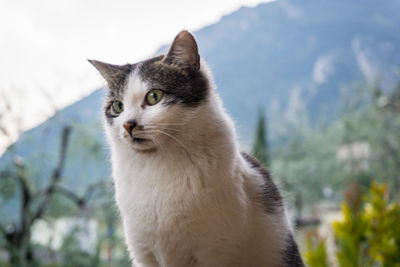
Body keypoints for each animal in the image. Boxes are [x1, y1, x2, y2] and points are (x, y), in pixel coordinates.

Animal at [89, 30, 304, 266]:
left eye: (154, 96)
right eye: (118, 106)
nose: (128, 124)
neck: (157, 166)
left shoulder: (214, 252)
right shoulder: (144, 255)